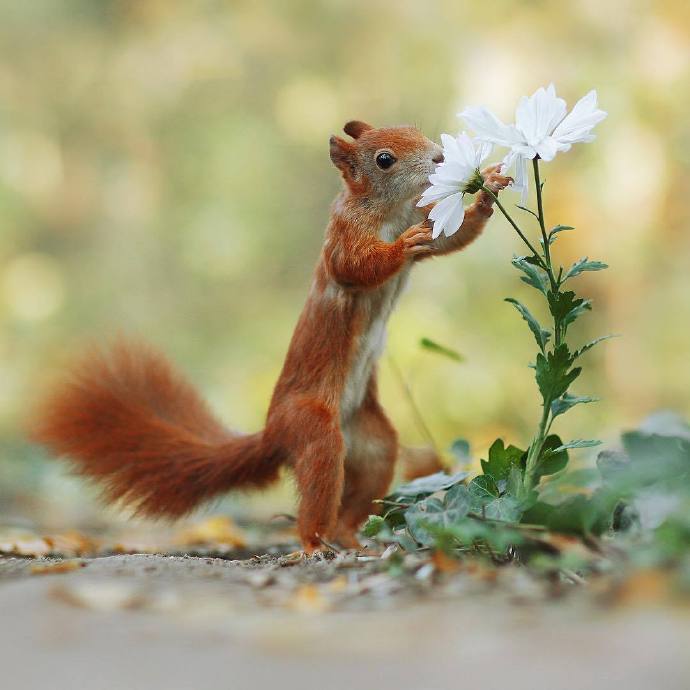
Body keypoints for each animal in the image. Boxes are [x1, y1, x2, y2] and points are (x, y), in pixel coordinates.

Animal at [32, 118, 510, 548]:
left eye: (414, 129)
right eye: (385, 159)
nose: (441, 157)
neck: (391, 210)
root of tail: (274, 435)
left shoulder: (424, 220)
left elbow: (451, 239)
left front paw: (488, 188)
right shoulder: (344, 239)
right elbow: (355, 267)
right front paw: (399, 247)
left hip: (372, 442)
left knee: (366, 476)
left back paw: (349, 536)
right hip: (313, 429)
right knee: (319, 485)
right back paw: (315, 543)